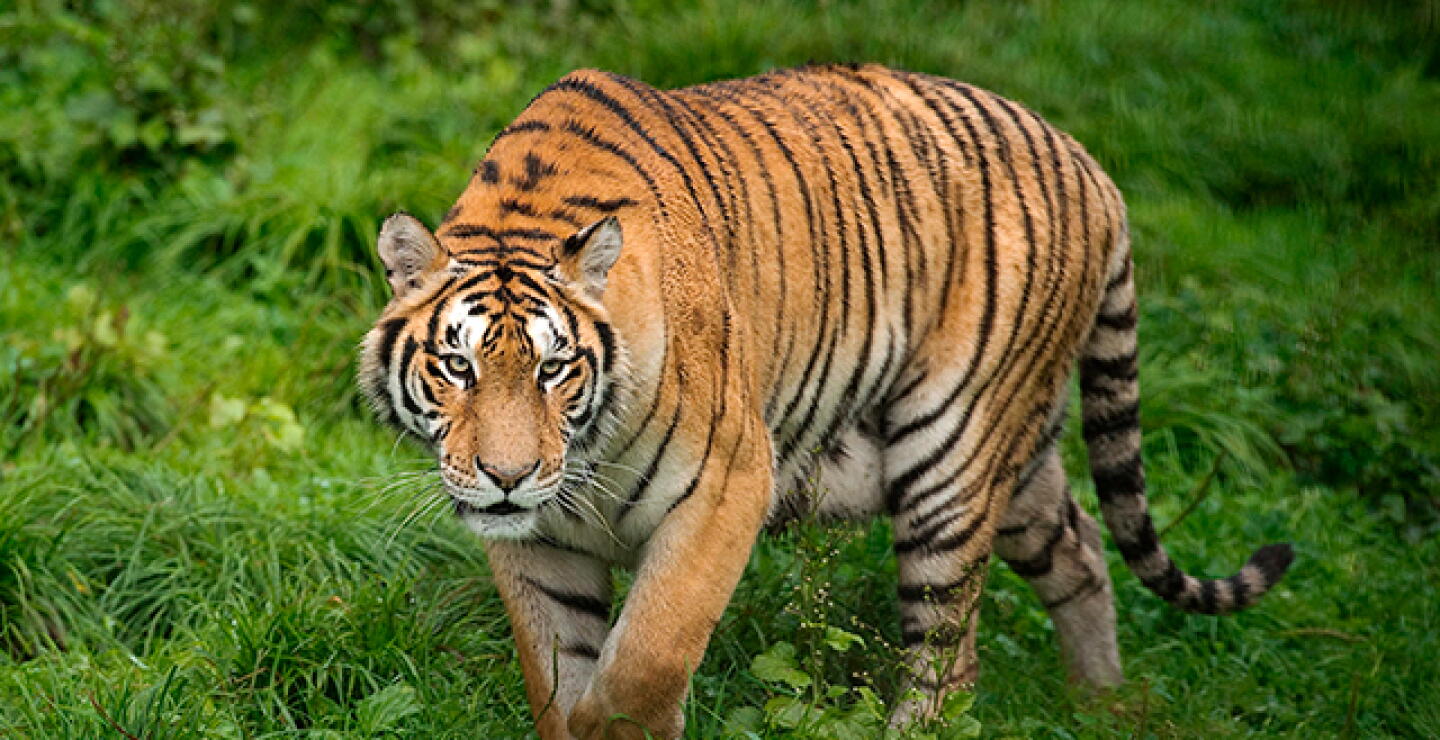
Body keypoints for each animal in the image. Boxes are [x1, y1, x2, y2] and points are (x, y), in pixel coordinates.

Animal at [359, 64, 1294, 739]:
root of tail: (1090, 162)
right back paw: (1099, 703)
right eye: (457, 367)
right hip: (1019, 462)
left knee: (949, 659)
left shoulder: (727, 486)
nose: (507, 476)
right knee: (1084, 546)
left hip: (951, 454)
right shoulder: (537, 543)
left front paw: (618, 719)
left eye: (555, 370)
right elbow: (556, 675)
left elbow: (642, 663)